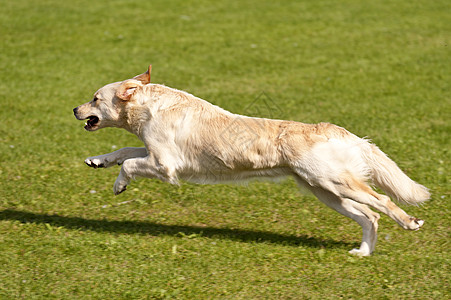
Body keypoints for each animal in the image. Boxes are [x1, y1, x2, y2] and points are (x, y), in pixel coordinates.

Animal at [73, 65, 430, 255]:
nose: (75, 109)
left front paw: (119, 183)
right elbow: (124, 151)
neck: (149, 107)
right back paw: (362, 253)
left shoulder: (165, 165)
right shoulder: (154, 153)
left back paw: (410, 222)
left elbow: (130, 163)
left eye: (95, 98)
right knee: (370, 217)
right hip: (326, 191)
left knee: (383, 202)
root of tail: (341, 131)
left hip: (337, 183)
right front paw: (98, 160)